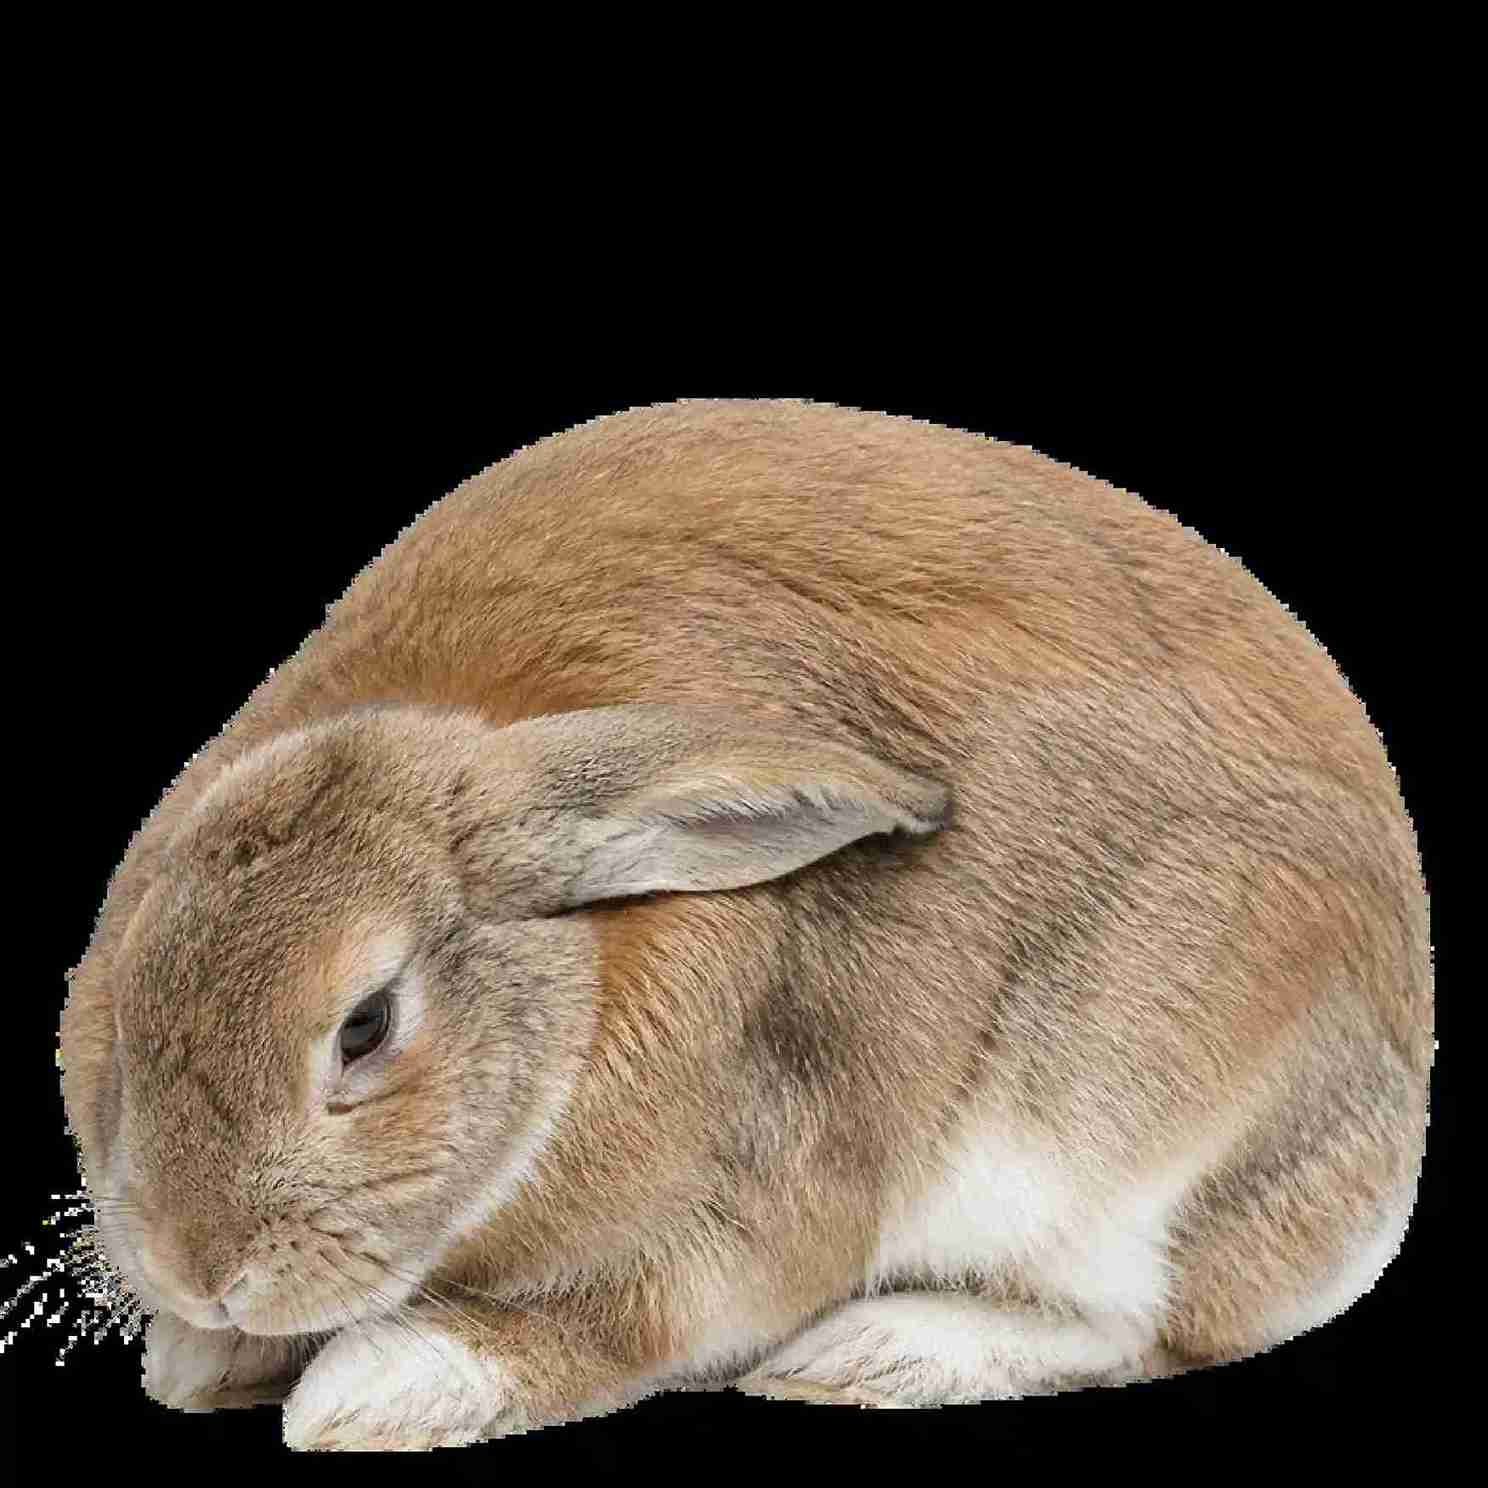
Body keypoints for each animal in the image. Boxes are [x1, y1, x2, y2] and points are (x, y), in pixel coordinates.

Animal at [58, 397, 1433, 1451]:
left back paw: (877, 1353)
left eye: (365, 1027)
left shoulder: (744, 1207)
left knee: (1144, 1322)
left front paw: (374, 1390)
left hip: (1132, 1139)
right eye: (131, 998)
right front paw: (198, 1362)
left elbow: (617, 1326)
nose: (198, 1269)